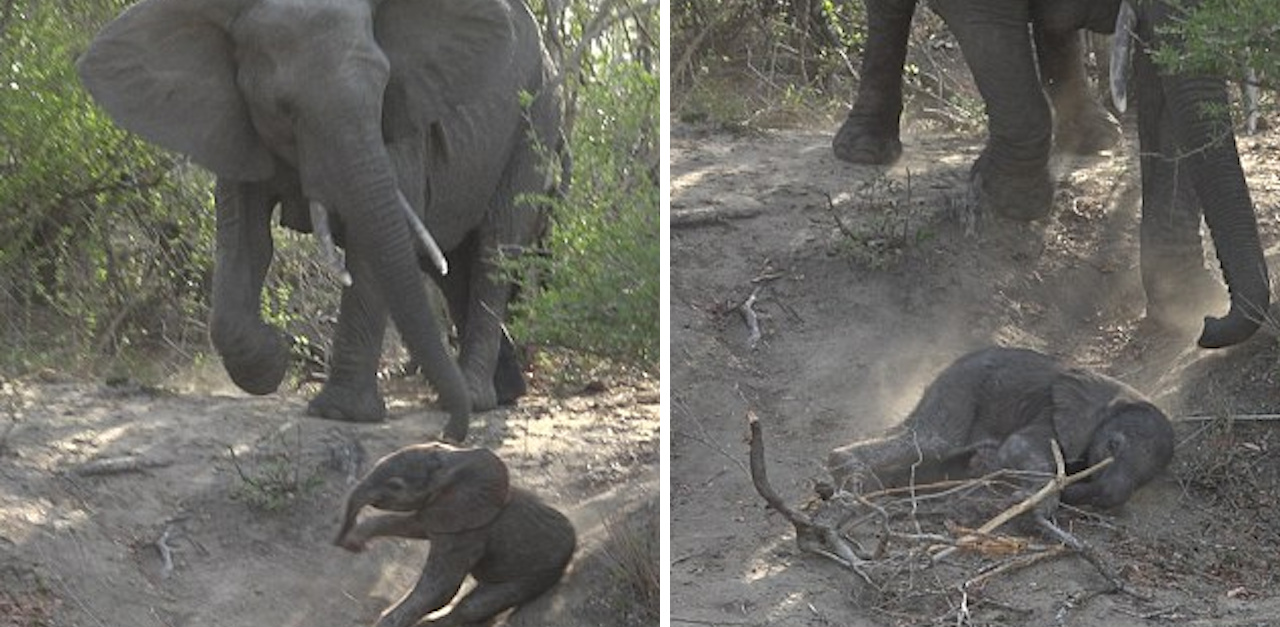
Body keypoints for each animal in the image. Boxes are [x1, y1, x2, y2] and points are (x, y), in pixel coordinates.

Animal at [78, 0, 560, 442]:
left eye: (383, 88)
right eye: (282, 107)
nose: (448, 437)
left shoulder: (397, 126)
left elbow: (369, 247)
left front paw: (339, 413)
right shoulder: (236, 123)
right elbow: (244, 239)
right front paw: (274, 357)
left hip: (537, 118)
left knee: (495, 248)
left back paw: (475, 397)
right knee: (453, 265)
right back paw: (499, 393)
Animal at [332, 440, 573, 627]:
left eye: (395, 486)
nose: (342, 543)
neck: (455, 461)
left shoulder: (473, 531)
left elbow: (439, 589)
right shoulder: (444, 511)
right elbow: (413, 525)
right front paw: (357, 539)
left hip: (541, 572)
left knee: (474, 605)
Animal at [824, 345, 1172, 511]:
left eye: (1146, 479)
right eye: (1112, 446)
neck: (1118, 396)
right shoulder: (1051, 414)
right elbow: (1019, 445)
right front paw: (1035, 505)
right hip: (960, 390)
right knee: (931, 440)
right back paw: (850, 475)